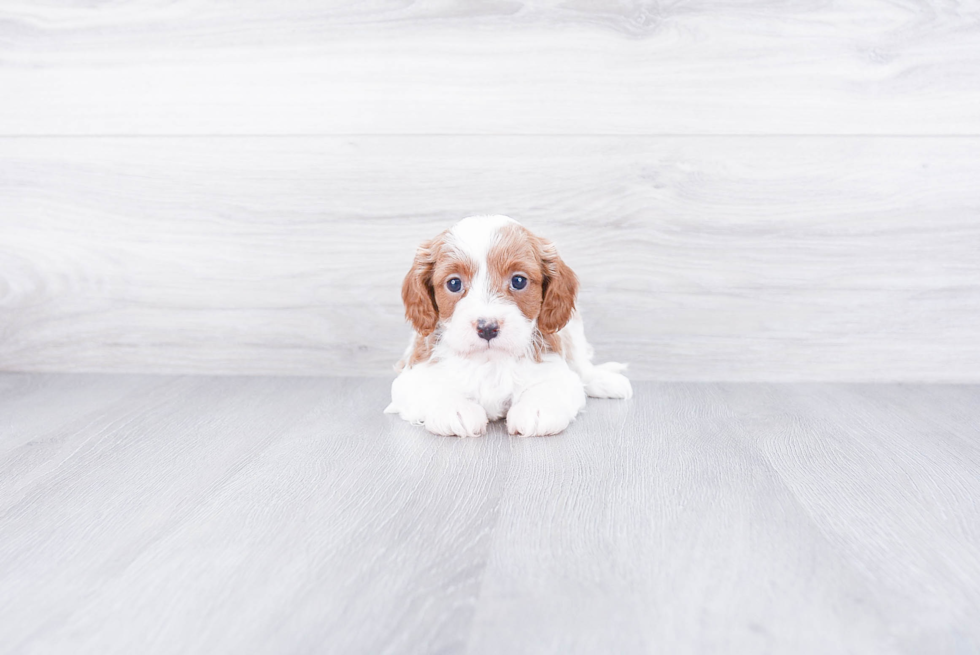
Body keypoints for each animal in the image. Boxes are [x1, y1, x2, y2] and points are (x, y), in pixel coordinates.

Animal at [386, 217, 632, 440]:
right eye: (454, 283)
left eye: (518, 281)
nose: (487, 328)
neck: (490, 360)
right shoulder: (410, 377)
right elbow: (431, 387)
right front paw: (455, 409)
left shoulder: (556, 368)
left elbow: (553, 384)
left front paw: (536, 408)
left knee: (582, 367)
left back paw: (606, 382)